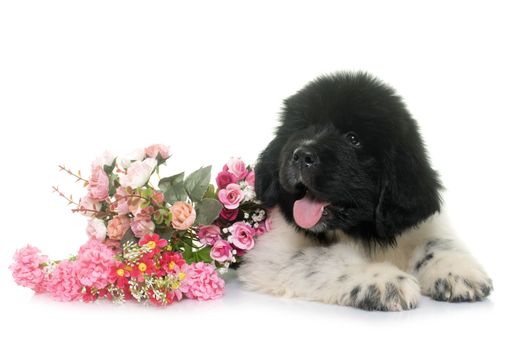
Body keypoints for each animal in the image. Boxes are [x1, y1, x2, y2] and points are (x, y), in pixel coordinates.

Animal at [238, 72, 490, 312]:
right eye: (302, 129)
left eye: (353, 139)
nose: (301, 155)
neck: (361, 233)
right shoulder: (274, 254)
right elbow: (325, 258)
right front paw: (384, 281)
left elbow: (436, 242)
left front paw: (457, 270)